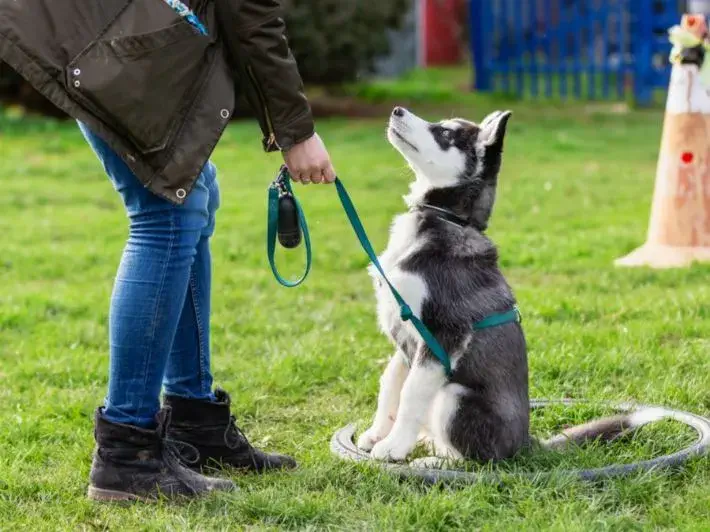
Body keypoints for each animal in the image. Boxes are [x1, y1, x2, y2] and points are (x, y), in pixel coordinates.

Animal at [358, 107, 664, 462]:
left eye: (445, 134)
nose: (397, 110)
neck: (446, 218)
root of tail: (525, 443)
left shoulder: (443, 334)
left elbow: (410, 393)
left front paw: (393, 447)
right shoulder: (405, 337)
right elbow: (391, 382)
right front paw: (377, 433)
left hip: (454, 397)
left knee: (475, 459)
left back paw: (430, 460)